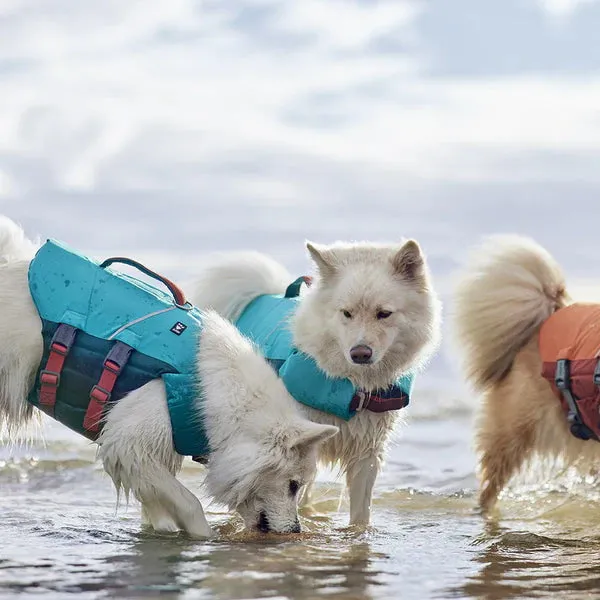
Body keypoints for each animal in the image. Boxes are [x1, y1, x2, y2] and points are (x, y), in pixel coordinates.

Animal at [0, 219, 340, 540]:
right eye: (293, 484)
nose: (296, 530)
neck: (211, 396)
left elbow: (158, 511)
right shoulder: (129, 443)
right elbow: (190, 504)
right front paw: (203, 539)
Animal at [191, 239, 440, 524]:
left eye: (384, 314)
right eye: (346, 313)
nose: (360, 353)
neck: (351, 386)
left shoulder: (367, 452)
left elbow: (360, 513)